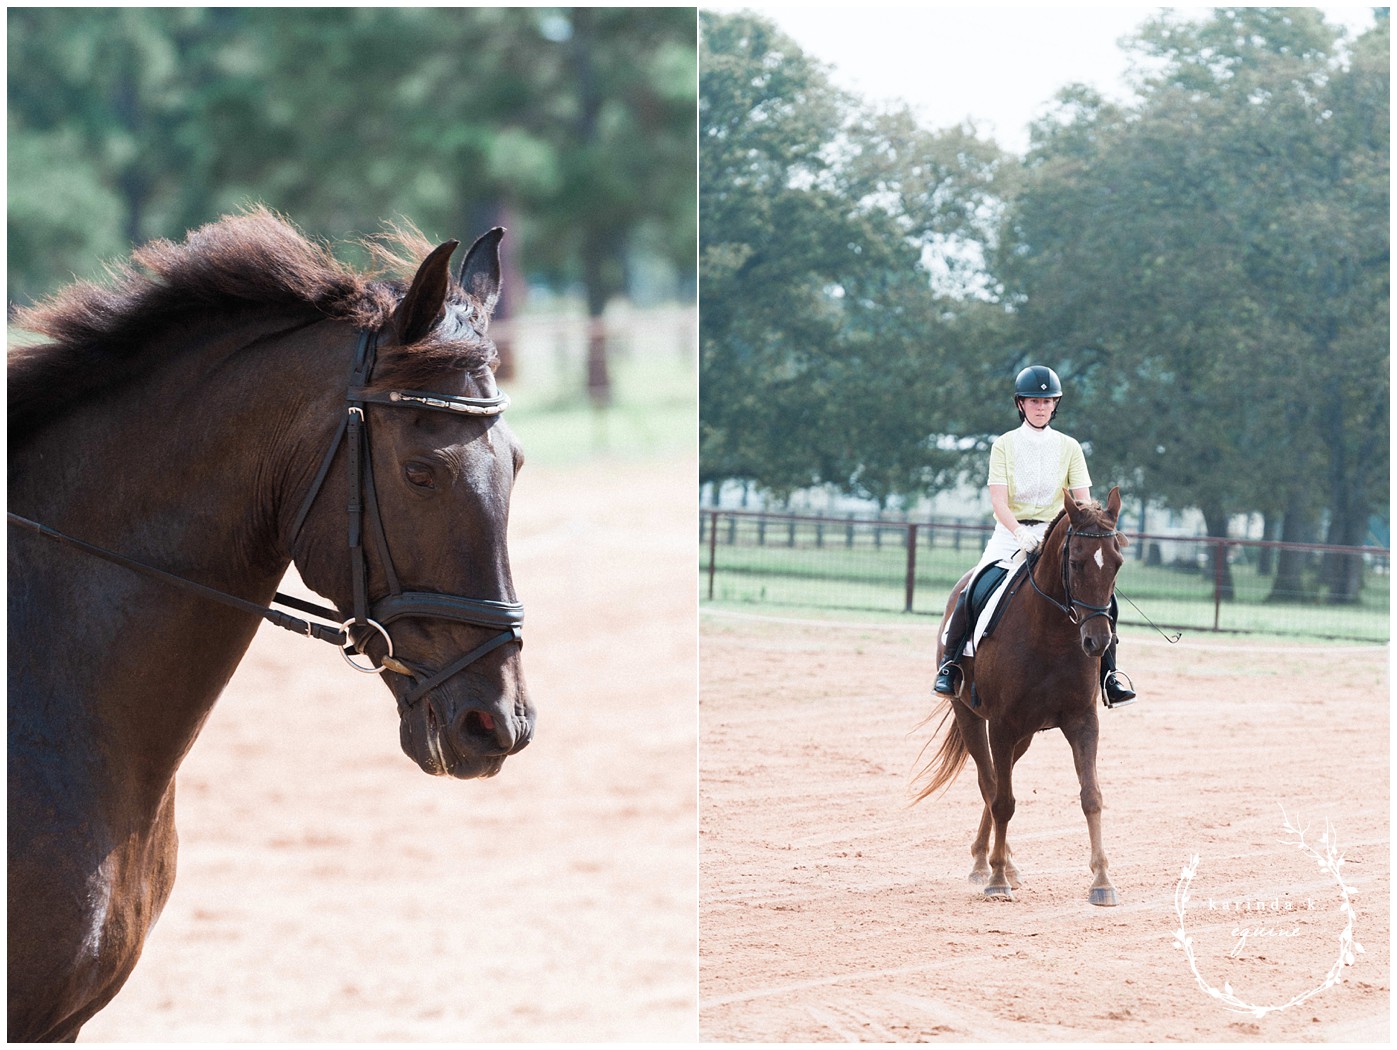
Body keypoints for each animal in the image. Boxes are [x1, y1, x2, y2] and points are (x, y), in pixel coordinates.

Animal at [912, 487, 1128, 906]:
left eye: (1117, 564)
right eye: (1075, 563)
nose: (1097, 642)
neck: (1051, 634)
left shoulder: (1082, 721)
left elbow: (1091, 796)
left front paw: (1102, 882)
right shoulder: (1002, 724)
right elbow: (1002, 799)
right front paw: (997, 877)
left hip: (1025, 734)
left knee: (997, 780)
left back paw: (1001, 861)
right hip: (970, 715)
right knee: (990, 783)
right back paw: (989, 865)